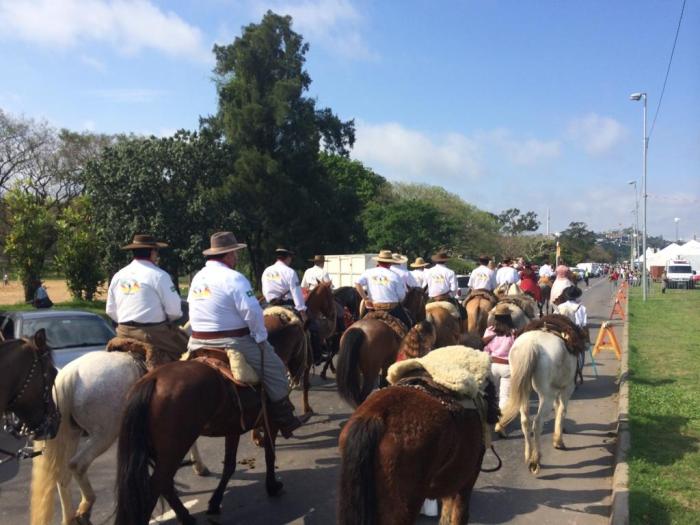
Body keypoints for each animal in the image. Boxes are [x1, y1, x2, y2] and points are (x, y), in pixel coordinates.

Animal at [30, 348, 208, 524]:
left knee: (62, 475)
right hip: (104, 434)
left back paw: (71, 517)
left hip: (71, 433)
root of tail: (70, 374)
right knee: (77, 465)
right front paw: (199, 466)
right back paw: (86, 506)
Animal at [113, 360, 284, 524]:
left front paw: (214, 503)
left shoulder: (234, 430)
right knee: (155, 487)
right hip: (175, 449)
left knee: (165, 483)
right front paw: (272, 486)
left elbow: (229, 466)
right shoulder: (271, 422)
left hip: (161, 452)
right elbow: (270, 455)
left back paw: (186, 516)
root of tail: (151, 379)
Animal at [500, 320, 584, 474]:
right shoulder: (567, 388)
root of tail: (532, 344)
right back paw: (535, 460)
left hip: (524, 391)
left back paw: (528, 455)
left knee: (525, 421)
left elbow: (558, 409)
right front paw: (558, 441)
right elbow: (562, 411)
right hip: (546, 396)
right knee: (538, 422)